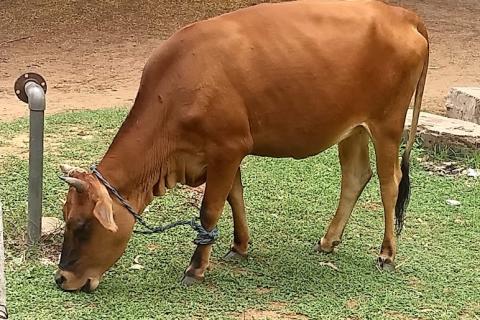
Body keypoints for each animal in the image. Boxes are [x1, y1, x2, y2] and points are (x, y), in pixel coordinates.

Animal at [52, 0, 428, 292]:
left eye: (82, 226)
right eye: (65, 217)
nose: (62, 279)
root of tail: (401, 14)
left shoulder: (227, 148)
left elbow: (210, 209)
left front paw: (195, 268)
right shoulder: (223, 153)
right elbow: (235, 198)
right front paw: (239, 246)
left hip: (387, 124)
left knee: (390, 183)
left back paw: (387, 253)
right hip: (352, 128)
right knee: (355, 176)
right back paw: (328, 241)